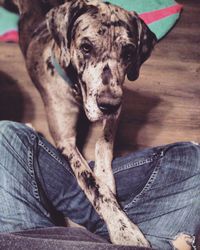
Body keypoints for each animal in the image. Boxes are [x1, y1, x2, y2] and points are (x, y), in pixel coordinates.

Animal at [14, 0, 156, 246]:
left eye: (129, 52)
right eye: (86, 47)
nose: (108, 104)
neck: (77, 90)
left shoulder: (117, 107)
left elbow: (103, 142)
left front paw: (105, 176)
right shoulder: (66, 142)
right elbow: (93, 186)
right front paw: (124, 229)